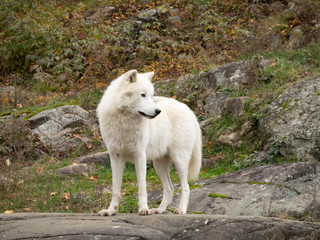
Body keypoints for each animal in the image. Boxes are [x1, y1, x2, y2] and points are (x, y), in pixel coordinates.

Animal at [96, 70, 201, 216]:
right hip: (159, 166)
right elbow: (115, 189)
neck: (125, 122)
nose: (158, 111)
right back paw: (159, 210)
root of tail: (189, 110)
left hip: (179, 160)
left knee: (185, 187)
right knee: (170, 188)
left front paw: (143, 209)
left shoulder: (140, 156)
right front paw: (111, 210)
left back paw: (181, 210)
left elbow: (142, 187)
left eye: (151, 96)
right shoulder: (115, 157)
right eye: (143, 95)